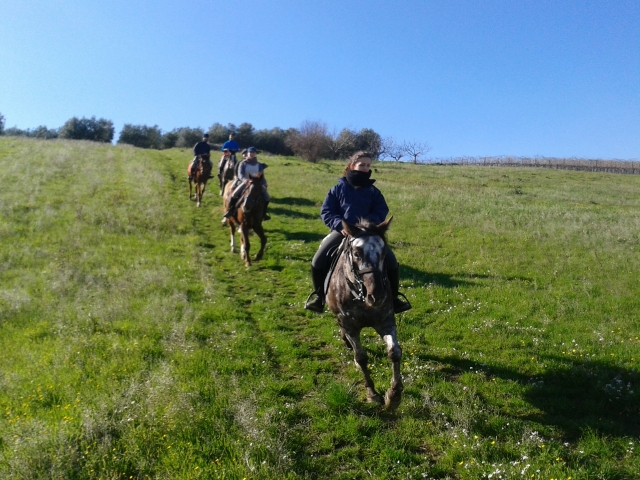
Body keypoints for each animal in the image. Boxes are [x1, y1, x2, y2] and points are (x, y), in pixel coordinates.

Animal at [325, 217, 403, 410]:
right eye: (356, 253)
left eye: (383, 253)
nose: (377, 295)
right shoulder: (350, 326)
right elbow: (361, 357)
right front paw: (372, 393)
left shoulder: (386, 321)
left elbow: (394, 352)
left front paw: (394, 395)